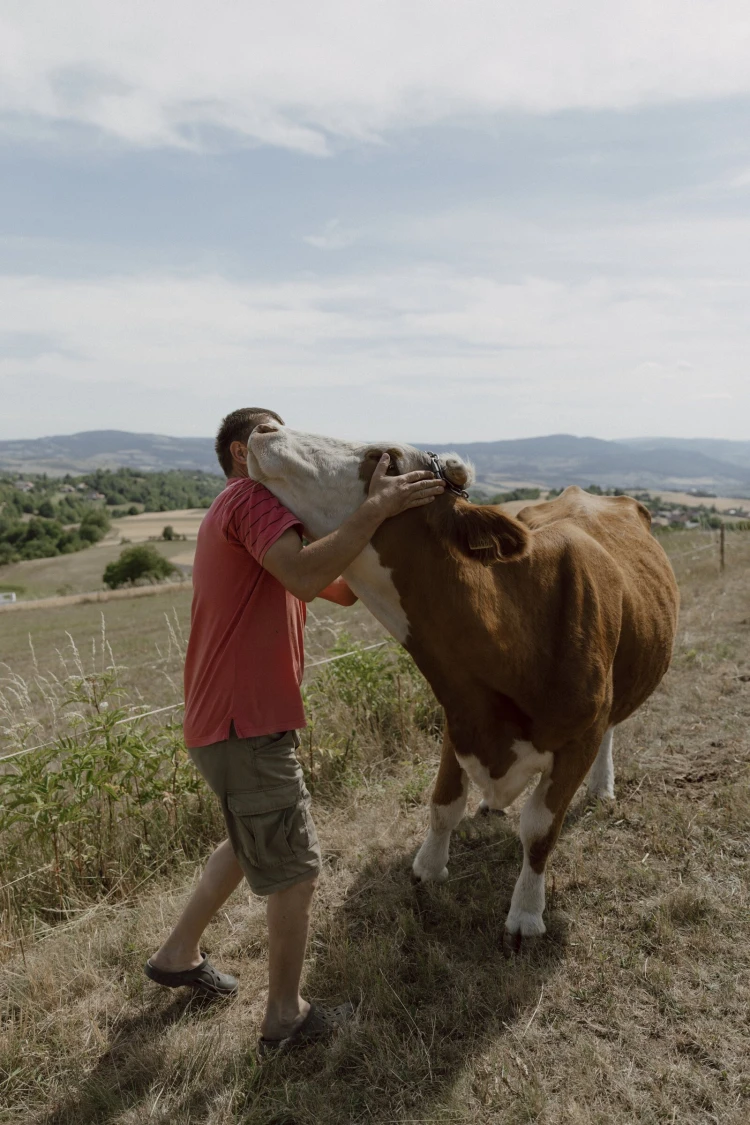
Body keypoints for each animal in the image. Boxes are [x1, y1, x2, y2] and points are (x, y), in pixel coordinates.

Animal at [247, 425, 679, 945]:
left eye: (384, 458)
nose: (266, 428)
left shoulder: (580, 737)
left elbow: (540, 830)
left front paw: (527, 912)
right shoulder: (459, 712)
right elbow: (443, 803)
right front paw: (429, 866)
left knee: (614, 726)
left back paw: (601, 785)